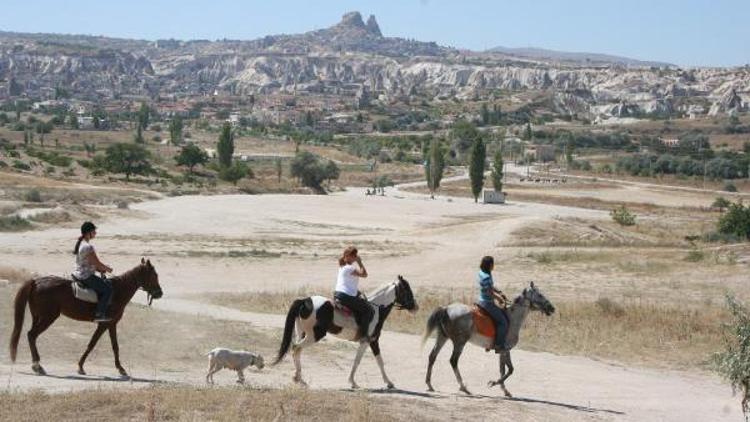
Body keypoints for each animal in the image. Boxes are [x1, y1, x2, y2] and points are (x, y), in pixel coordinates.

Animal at [8, 258, 163, 378]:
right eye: (154, 275)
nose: (160, 293)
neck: (117, 291)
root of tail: (35, 281)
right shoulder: (103, 324)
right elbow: (92, 344)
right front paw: (81, 366)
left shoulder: (111, 324)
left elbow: (115, 346)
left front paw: (121, 368)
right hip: (48, 317)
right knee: (32, 335)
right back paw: (37, 366)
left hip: (37, 316)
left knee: (31, 336)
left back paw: (36, 365)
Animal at [276, 276, 420, 390]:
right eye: (406, 290)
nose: (416, 307)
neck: (377, 309)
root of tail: (305, 300)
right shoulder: (368, 341)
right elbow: (359, 361)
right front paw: (353, 382)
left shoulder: (373, 341)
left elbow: (379, 361)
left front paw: (389, 383)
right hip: (314, 335)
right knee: (296, 348)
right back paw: (299, 379)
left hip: (301, 332)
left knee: (297, 351)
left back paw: (298, 378)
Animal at [426, 282, 556, 398]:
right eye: (540, 295)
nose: (552, 308)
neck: (512, 319)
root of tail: (446, 308)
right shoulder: (505, 350)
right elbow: (509, 370)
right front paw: (493, 383)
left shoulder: (504, 350)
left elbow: (504, 370)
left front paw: (505, 391)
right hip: (460, 342)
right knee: (453, 361)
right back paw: (464, 388)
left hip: (443, 337)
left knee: (432, 356)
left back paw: (429, 385)